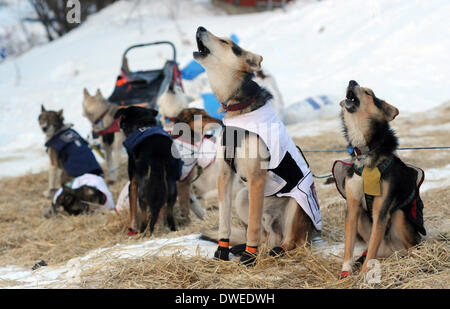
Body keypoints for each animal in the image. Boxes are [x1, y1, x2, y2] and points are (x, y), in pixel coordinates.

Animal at [195, 25, 322, 264]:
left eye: (226, 42)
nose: (200, 27)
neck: (237, 107)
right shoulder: (225, 176)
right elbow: (224, 221)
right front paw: (223, 250)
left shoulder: (256, 177)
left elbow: (253, 225)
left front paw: (250, 256)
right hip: (242, 197)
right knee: (265, 236)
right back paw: (244, 246)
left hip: (297, 203)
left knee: (291, 241)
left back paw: (275, 250)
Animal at [334, 80, 426, 276]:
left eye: (368, 93)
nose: (352, 81)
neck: (365, 152)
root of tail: (389, 251)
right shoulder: (352, 208)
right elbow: (348, 246)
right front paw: (346, 272)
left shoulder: (381, 211)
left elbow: (371, 249)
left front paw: (363, 275)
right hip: (363, 217)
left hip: (399, 216)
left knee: (411, 246)